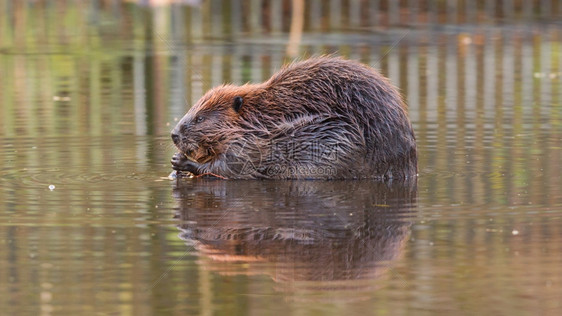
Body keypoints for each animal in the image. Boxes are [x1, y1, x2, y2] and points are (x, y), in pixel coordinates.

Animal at [171, 56, 416, 180]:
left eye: (200, 118)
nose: (174, 134)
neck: (261, 118)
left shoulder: (248, 147)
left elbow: (225, 167)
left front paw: (182, 162)